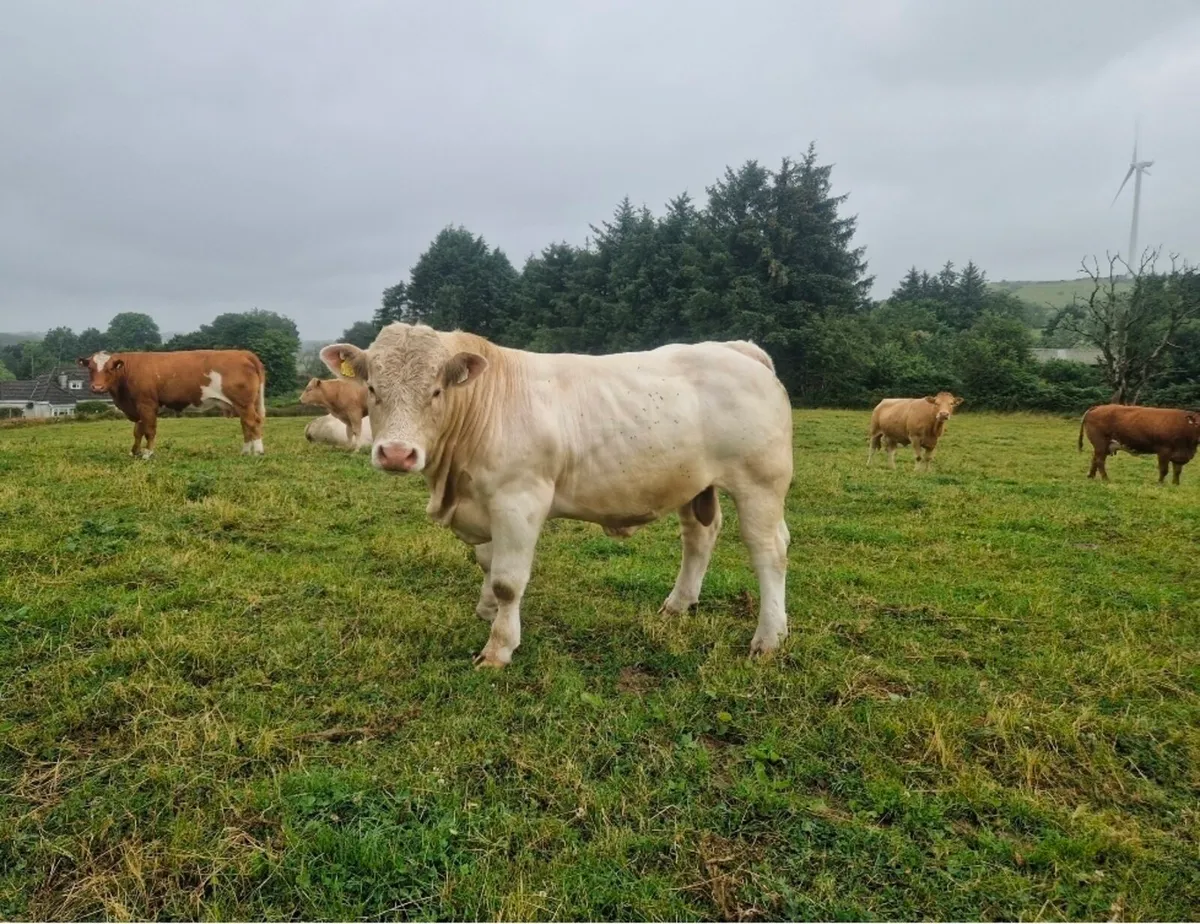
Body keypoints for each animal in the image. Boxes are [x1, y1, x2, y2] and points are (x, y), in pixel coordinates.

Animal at [77, 350, 266, 458]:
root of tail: (242, 353)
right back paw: (245, 451)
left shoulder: (147, 404)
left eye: (110, 368)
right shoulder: (137, 407)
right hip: (242, 405)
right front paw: (135, 452)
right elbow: (138, 431)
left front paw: (148, 454)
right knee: (245, 424)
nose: (97, 387)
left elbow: (149, 430)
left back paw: (257, 451)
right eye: (90, 368)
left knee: (252, 422)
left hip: (244, 402)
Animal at [321, 324, 794, 669]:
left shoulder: (519, 499)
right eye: (372, 388)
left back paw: (768, 638)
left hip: (761, 483)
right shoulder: (484, 503)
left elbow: (508, 580)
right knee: (700, 536)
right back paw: (678, 605)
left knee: (769, 551)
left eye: (436, 390)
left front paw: (499, 648)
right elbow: (488, 563)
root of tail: (736, 348)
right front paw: (487, 610)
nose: (396, 454)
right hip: (693, 482)